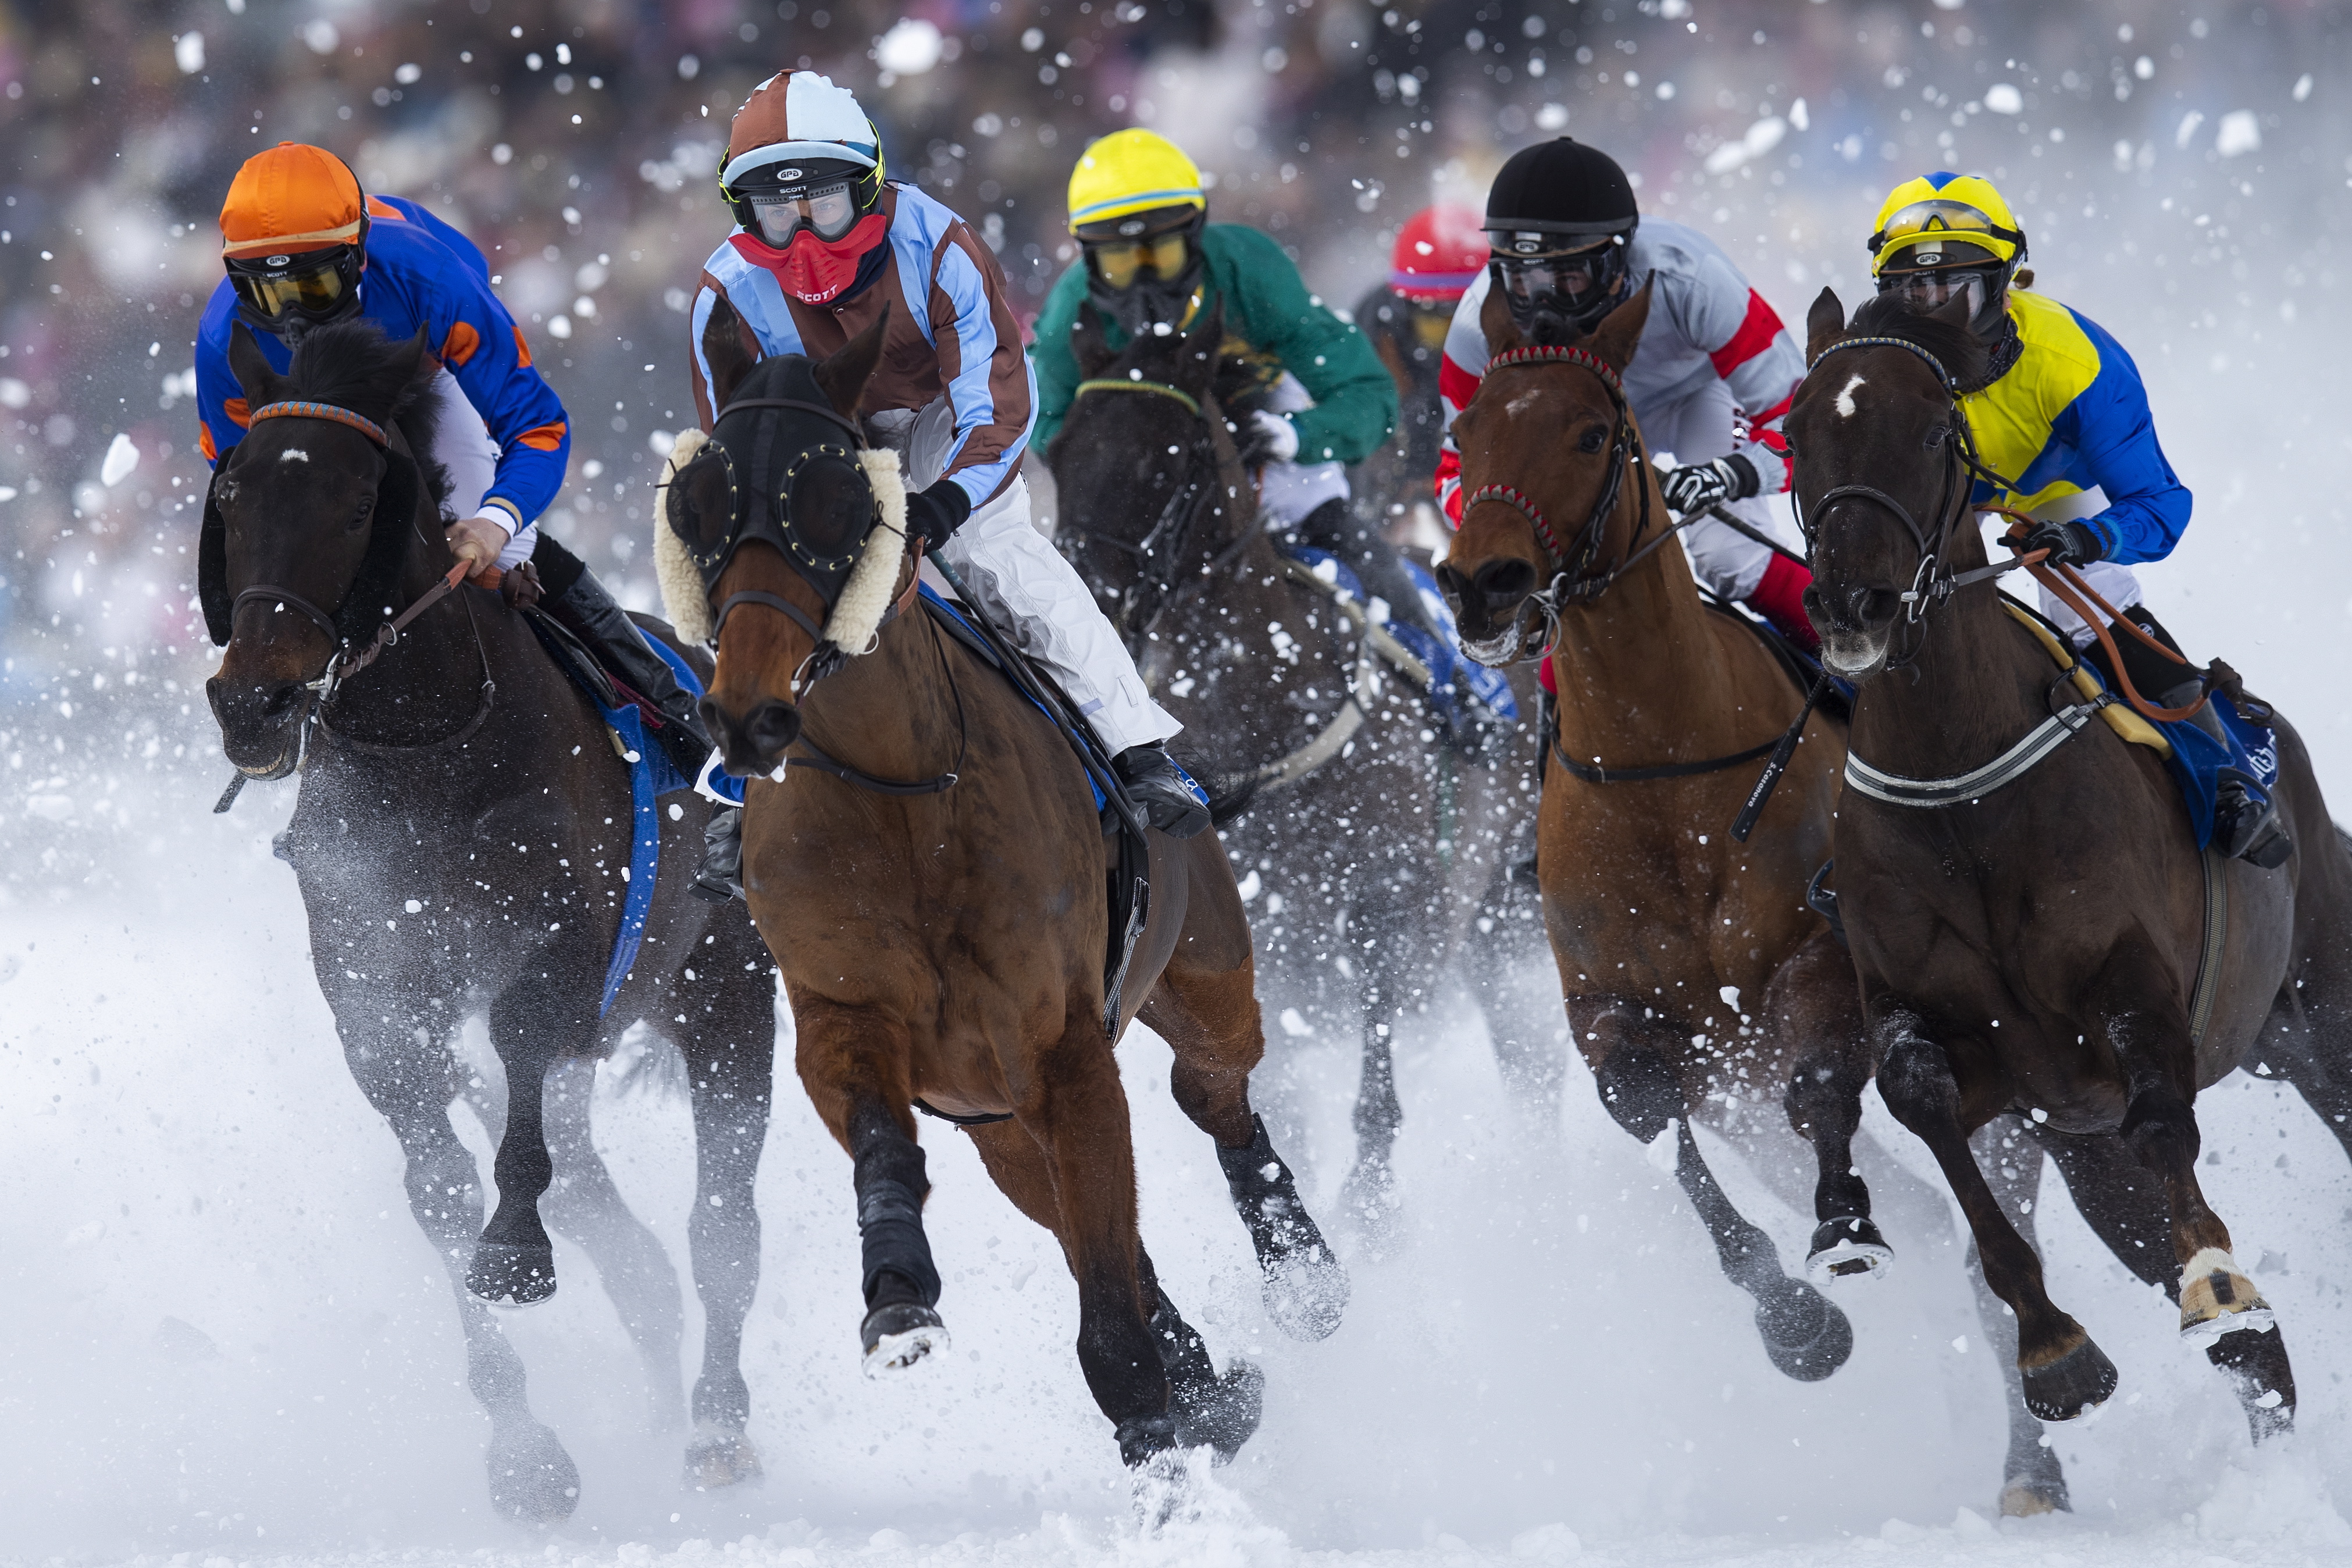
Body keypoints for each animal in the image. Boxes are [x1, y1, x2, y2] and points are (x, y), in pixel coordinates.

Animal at [199, 319, 771, 1523]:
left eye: (356, 501)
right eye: (231, 492)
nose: (254, 701)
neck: (426, 748)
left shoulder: (557, 953)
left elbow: (518, 1102)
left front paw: (515, 1252)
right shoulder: (374, 988)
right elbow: (437, 1185)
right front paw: (525, 1452)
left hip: (728, 993)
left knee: (721, 1228)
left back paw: (714, 1428)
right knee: (627, 1234)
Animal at [672, 297, 1355, 1485]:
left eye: (833, 499)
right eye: (698, 501)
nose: (745, 712)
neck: (903, 795)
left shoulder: (1061, 1049)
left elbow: (1111, 1324)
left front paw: (1166, 1450)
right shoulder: (851, 1019)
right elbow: (888, 1145)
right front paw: (898, 1297)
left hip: (1203, 971)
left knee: (1211, 1095)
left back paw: (1301, 1273)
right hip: (992, 1122)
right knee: (1099, 1221)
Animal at [1430, 286, 1872, 1382]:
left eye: (1593, 433)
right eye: (1463, 430)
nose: (1481, 584)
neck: (1662, 767)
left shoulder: (1814, 955)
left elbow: (1820, 1079)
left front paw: (1839, 1233)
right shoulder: (1612, 1011)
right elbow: (1645, 1111)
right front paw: (1793, 1320)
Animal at [1787, 291, 2342, 1448]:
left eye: (1933, 434)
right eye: (1795, 434)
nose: (1853, 607)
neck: (1959, 783)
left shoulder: (2130, 987)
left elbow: (2163, 1120)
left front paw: (2216, 1280)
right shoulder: (1970, 1043)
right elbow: (1915, 1092)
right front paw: (2054, 1346)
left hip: (2319, 997)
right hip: (2093, 1151)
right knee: (2237, 1342)